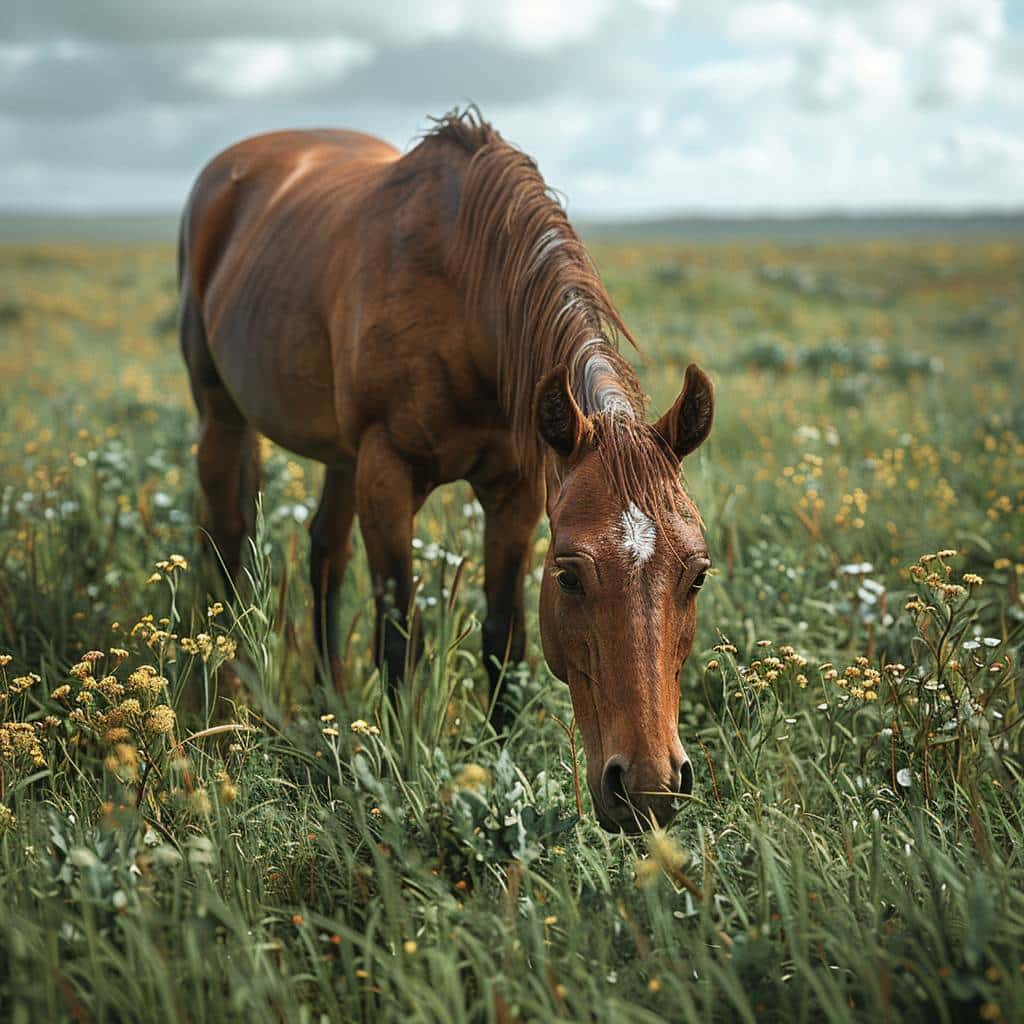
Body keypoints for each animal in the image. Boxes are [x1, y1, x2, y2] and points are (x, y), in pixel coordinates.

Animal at [182, 110, 712, 831]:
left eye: (697, 575)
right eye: (570, 577)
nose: (651, 789)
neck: (464, 292)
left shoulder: (515, 491)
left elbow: (503, 638)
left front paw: (502, 758)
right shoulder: (387, 472)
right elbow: (399, 635)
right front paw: (396, 761)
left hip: (341, 456)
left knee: (325, 553)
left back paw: (329, 701)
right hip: (224, 415)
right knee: (228, 548)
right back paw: (229, 702)